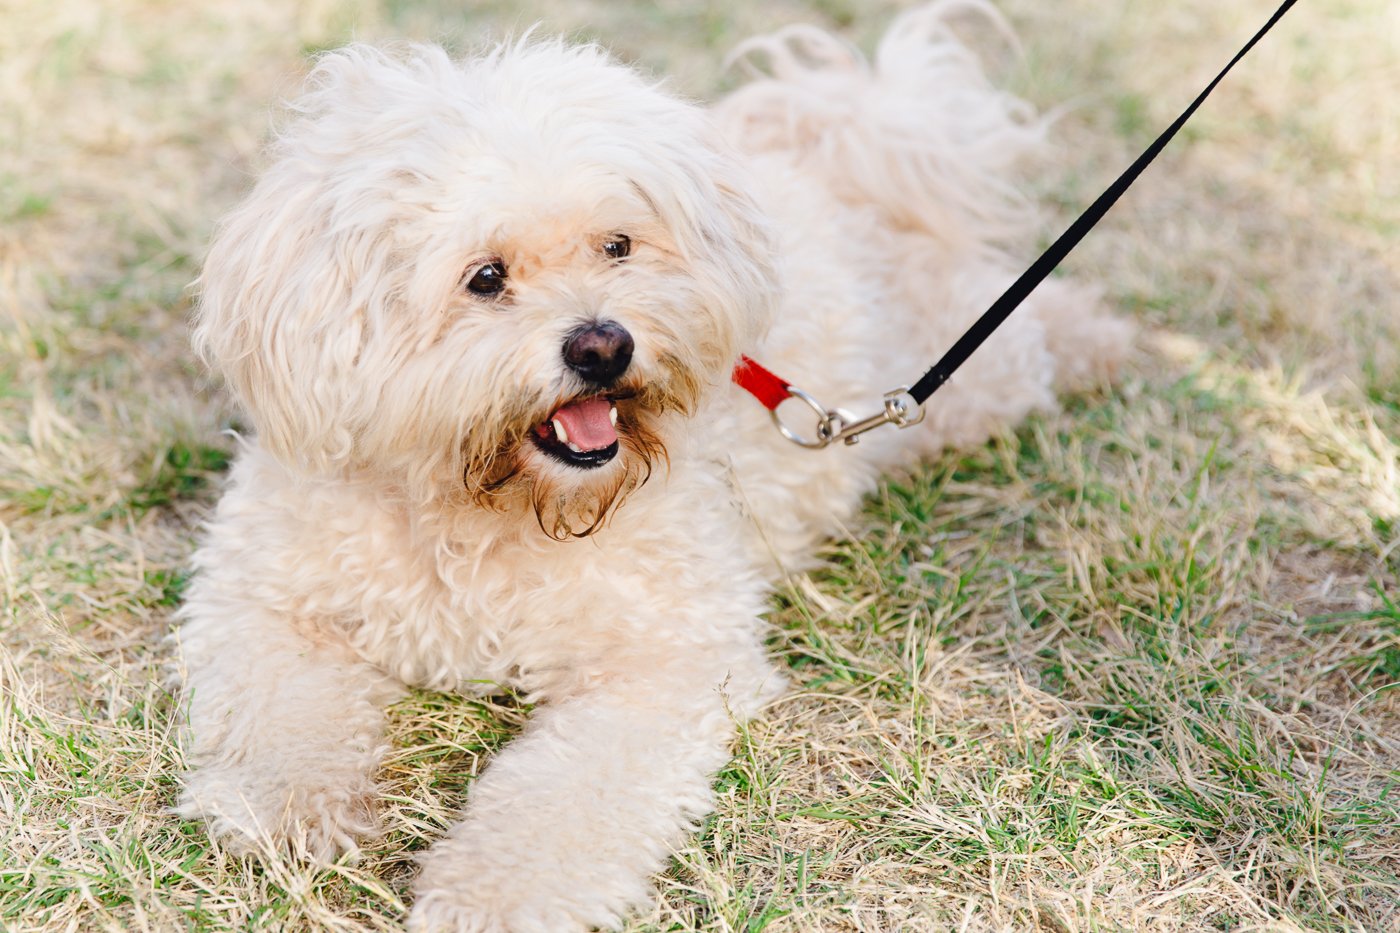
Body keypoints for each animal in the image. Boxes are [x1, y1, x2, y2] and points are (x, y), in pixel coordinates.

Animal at [177, 3, 1125, 924]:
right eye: (486, 277)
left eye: (618, 245)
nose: (603, 344)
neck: (482, 507)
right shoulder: (260, 599)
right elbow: (277, 710)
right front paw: (289, 810)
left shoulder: (666, 662)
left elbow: (556, 804)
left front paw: (495, 901)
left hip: (965, 383)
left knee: (1026, 324)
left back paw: (1103, 342)